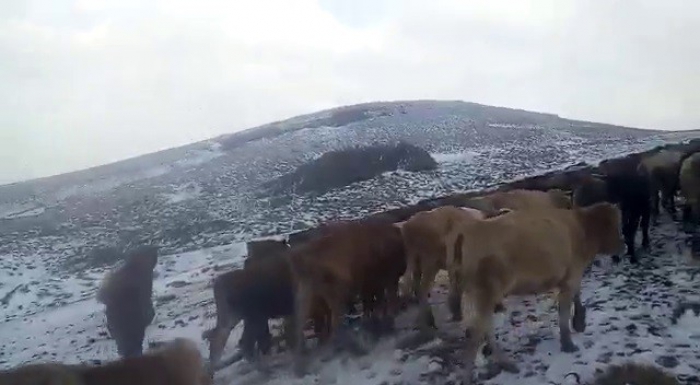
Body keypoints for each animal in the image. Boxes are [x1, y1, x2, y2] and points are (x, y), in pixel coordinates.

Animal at [442, 202, 624, 382]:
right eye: (615, 224)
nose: (623, 246)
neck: (581, 226)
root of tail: (469, 230)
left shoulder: (570, 278)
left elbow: (576, 296)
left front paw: (579, 322)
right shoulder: (571, 278)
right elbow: (564, 312)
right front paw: (568, 343)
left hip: (476, 294)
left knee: (484, 329)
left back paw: (507, 365)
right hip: (486, 292)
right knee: (477, 334)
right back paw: (472, 376)